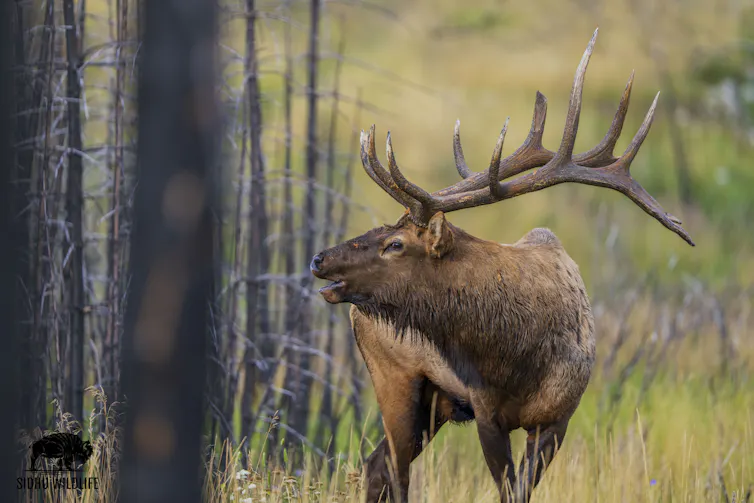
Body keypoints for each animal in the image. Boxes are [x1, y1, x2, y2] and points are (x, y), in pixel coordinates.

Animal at [310, 29, 694, 503]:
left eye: (395, 243)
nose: (319, 258)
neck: (517, 354)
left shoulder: (557, 420)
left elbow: (521, 490)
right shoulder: (487, 412)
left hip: (434, 404)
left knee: (378, 464)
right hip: (396, 380)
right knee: (391, 469)